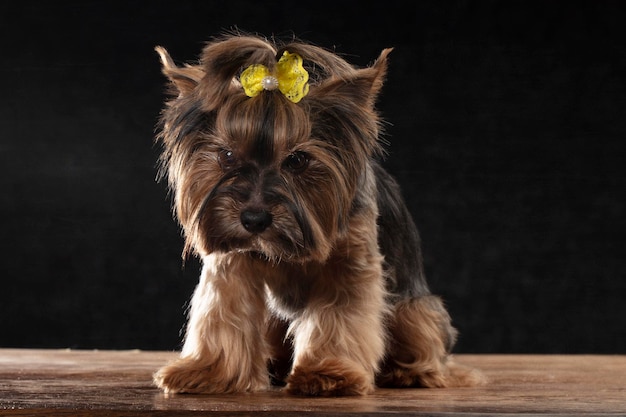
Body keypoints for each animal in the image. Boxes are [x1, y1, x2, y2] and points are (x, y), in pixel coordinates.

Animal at [151, 34, 482, 394]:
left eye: (297, 160)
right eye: (226, 156)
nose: (254, 219)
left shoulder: (350, 262)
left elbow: (340, 312)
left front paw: (328, 373)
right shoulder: (232, 260)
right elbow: (223, 309)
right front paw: (210, 371)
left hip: (413, 309)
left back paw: (410, 373)